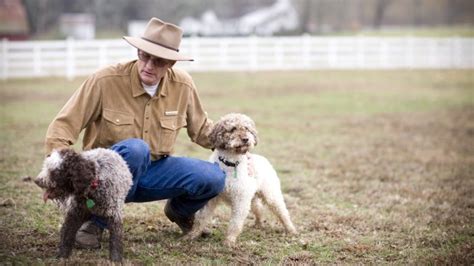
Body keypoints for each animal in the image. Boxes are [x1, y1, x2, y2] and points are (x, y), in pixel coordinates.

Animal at [185, 112, 296, 245]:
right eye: (233, 129)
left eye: (247, 129)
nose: (246, 139)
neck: (230, 164)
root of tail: (264, 159)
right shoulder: (211, 199)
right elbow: (201, 218)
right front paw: (192, 235)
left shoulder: (240, 199)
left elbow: (235, 222)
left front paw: (229, 241)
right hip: (252, 198)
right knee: (259, 209)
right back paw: (258, 224)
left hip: (271, 195)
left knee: (282, 212)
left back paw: (291, 229)